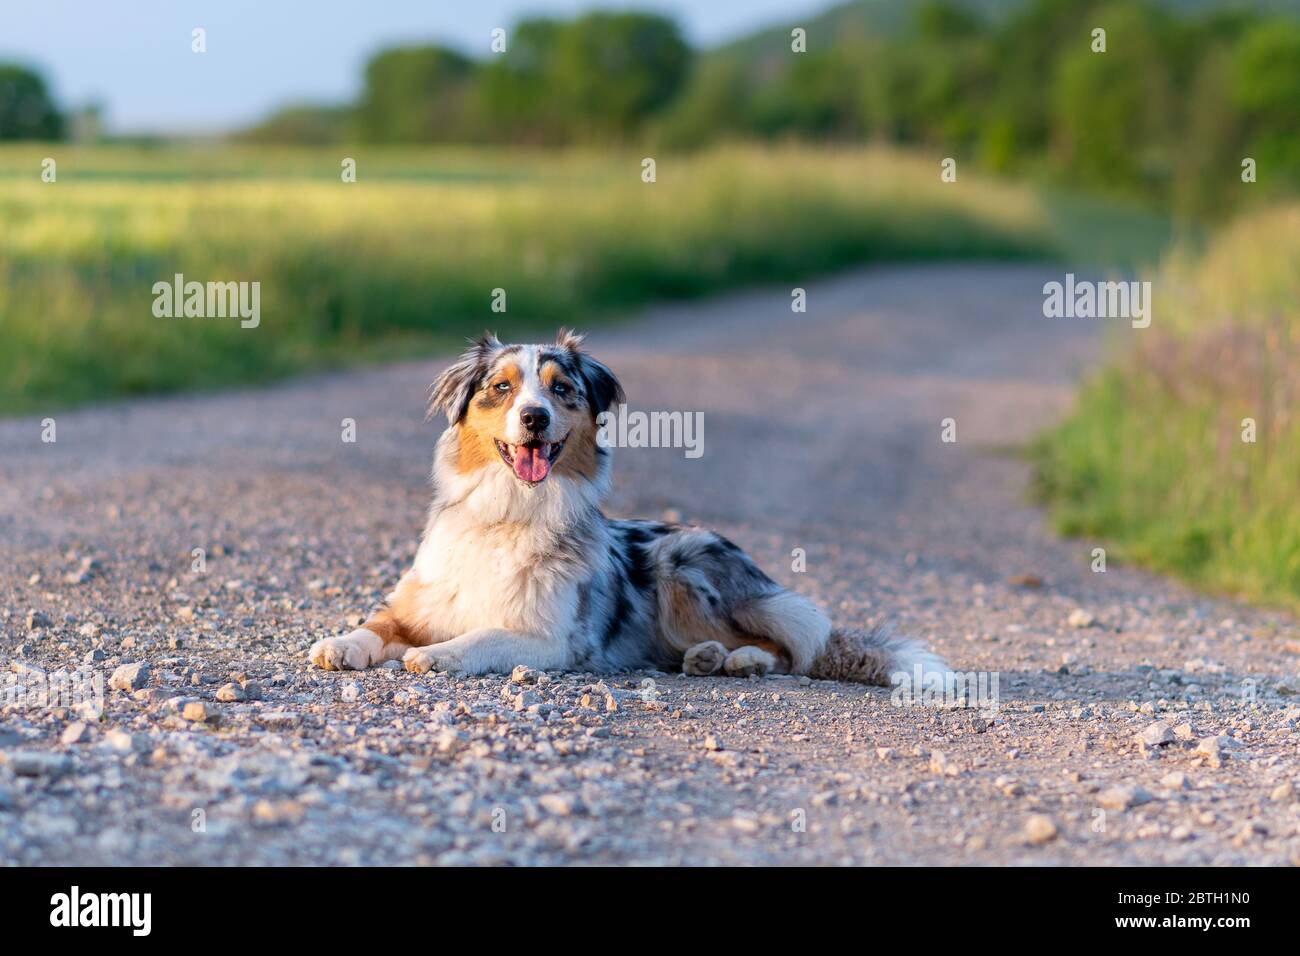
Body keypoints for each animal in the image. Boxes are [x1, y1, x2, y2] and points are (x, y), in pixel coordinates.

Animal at [310, 332, 951, 686]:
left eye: (561, 389)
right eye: (501, 388)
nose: (534, 417)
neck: (509, 511)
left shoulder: (554, 639)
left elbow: (483, 637)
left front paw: (436, 654)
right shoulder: (418, 599)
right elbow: (377, 623)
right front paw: (340, 644)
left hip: (681, 566)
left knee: (789, 646)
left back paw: (738, 659)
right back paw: (704, 659)